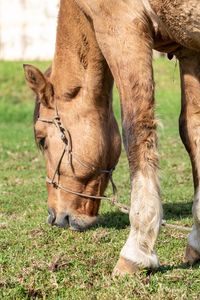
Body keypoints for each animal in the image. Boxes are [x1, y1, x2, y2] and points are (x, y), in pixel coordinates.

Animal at [24, 0, 200, 276]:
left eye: (42, 140)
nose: (54, 216)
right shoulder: (189, 51)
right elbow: (192, 129)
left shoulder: (122, 28)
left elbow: (137, 130)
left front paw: (136, 251)